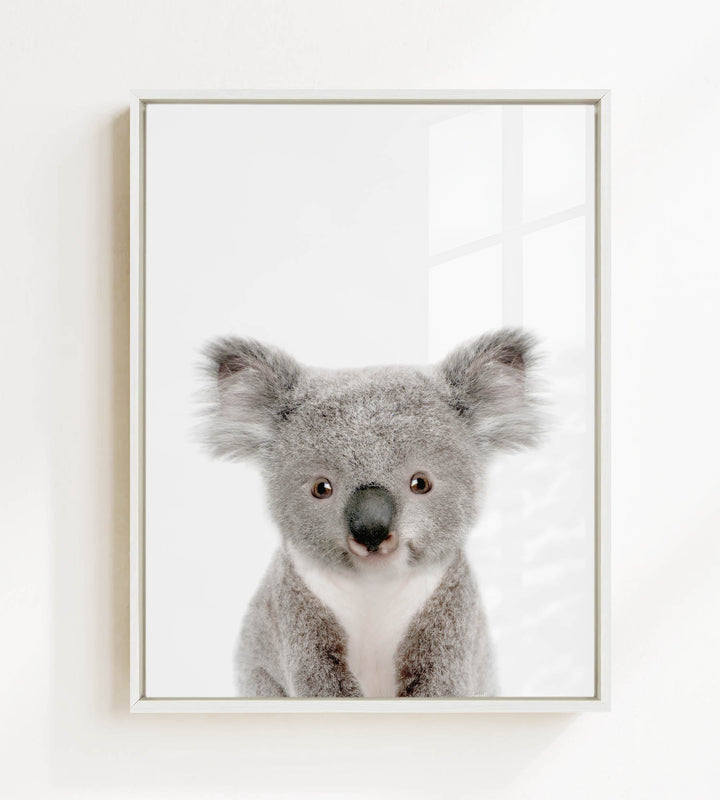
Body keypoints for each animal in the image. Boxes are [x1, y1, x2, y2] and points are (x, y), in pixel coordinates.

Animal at [201, 329, 541, 698]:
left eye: (421, 483)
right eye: (322, 488)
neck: (374, 586)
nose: (371, 531)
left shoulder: (451, 614)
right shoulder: (295, 611)